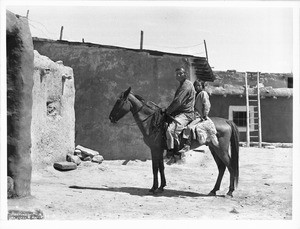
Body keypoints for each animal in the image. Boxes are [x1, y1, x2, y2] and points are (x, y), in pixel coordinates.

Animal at [108, 87, 239, 197]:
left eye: (119, 101)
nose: (111, 118)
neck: (152, 122)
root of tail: (227, 121)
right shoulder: (159, 150)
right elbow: (161, 167)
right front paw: (161, 187)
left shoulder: (155, 149)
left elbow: (155, 168)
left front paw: (154, 188)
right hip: (214, 148)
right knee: (222, 167)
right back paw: (213, 190)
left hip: (221, 149)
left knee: (230, 166)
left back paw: (230, 191)